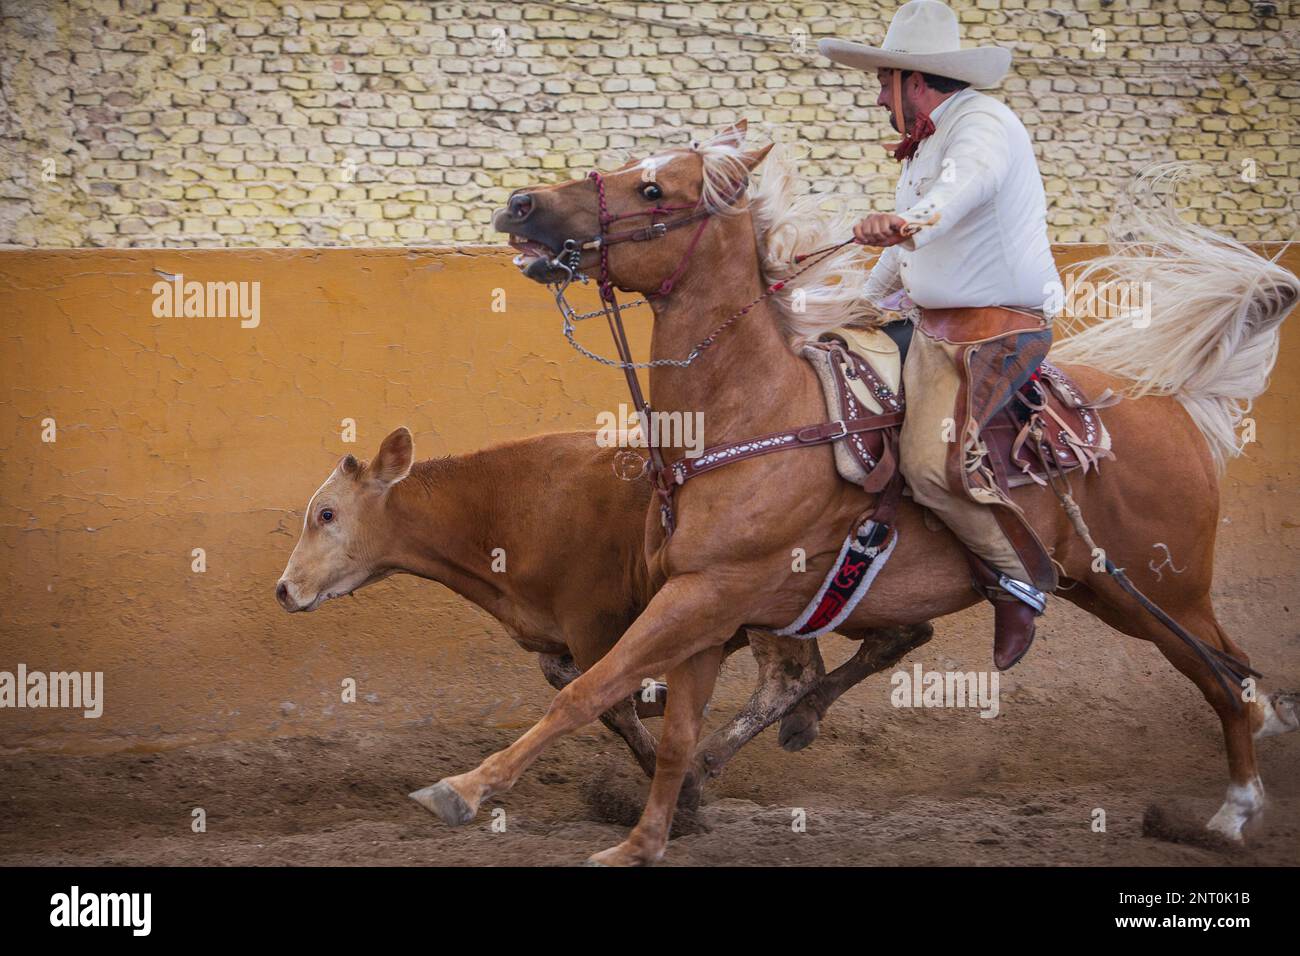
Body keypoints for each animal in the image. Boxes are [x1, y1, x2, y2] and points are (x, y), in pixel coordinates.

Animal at [274, 429, 930, 796]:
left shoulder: (594, 623)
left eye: (327, 513)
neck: (503, 511)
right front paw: (658, 700)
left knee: (790, 679)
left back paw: (709, 765)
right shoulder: (558, 634)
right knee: (898, 636)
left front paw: (665, 773)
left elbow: (602, 698)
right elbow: (574, 681)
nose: (283, 589)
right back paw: (801, 721)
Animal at [410, 123, 1294, 863]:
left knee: (1231, 682)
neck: (756, 412)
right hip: (1105, 590)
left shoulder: (706, 594)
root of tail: (1171, 401)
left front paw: (461, 790)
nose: (521, 204)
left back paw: (1231, 816)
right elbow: (676, 732)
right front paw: (642, 843)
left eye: (654, 190)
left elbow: (588, 690)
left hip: (1161, 590)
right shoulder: (703, 606)